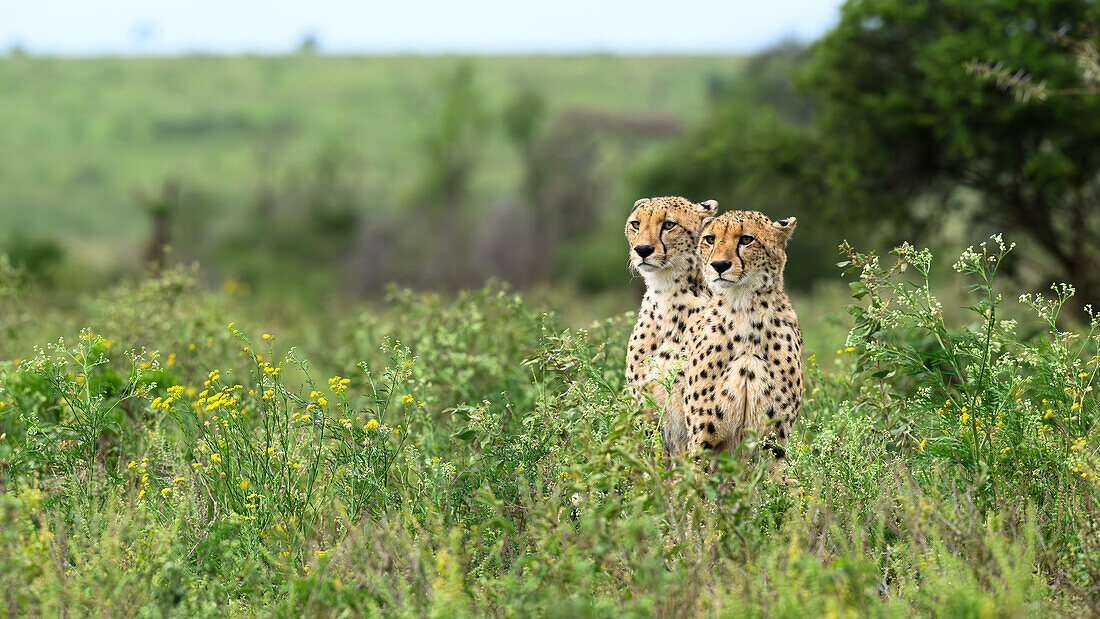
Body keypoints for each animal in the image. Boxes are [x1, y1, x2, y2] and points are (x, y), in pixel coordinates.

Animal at [664, 211, 805, 461]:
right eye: (710, 239)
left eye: (746, 239)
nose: (719, 265)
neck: (744, 314)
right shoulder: (702, 438)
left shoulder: (775, 441)